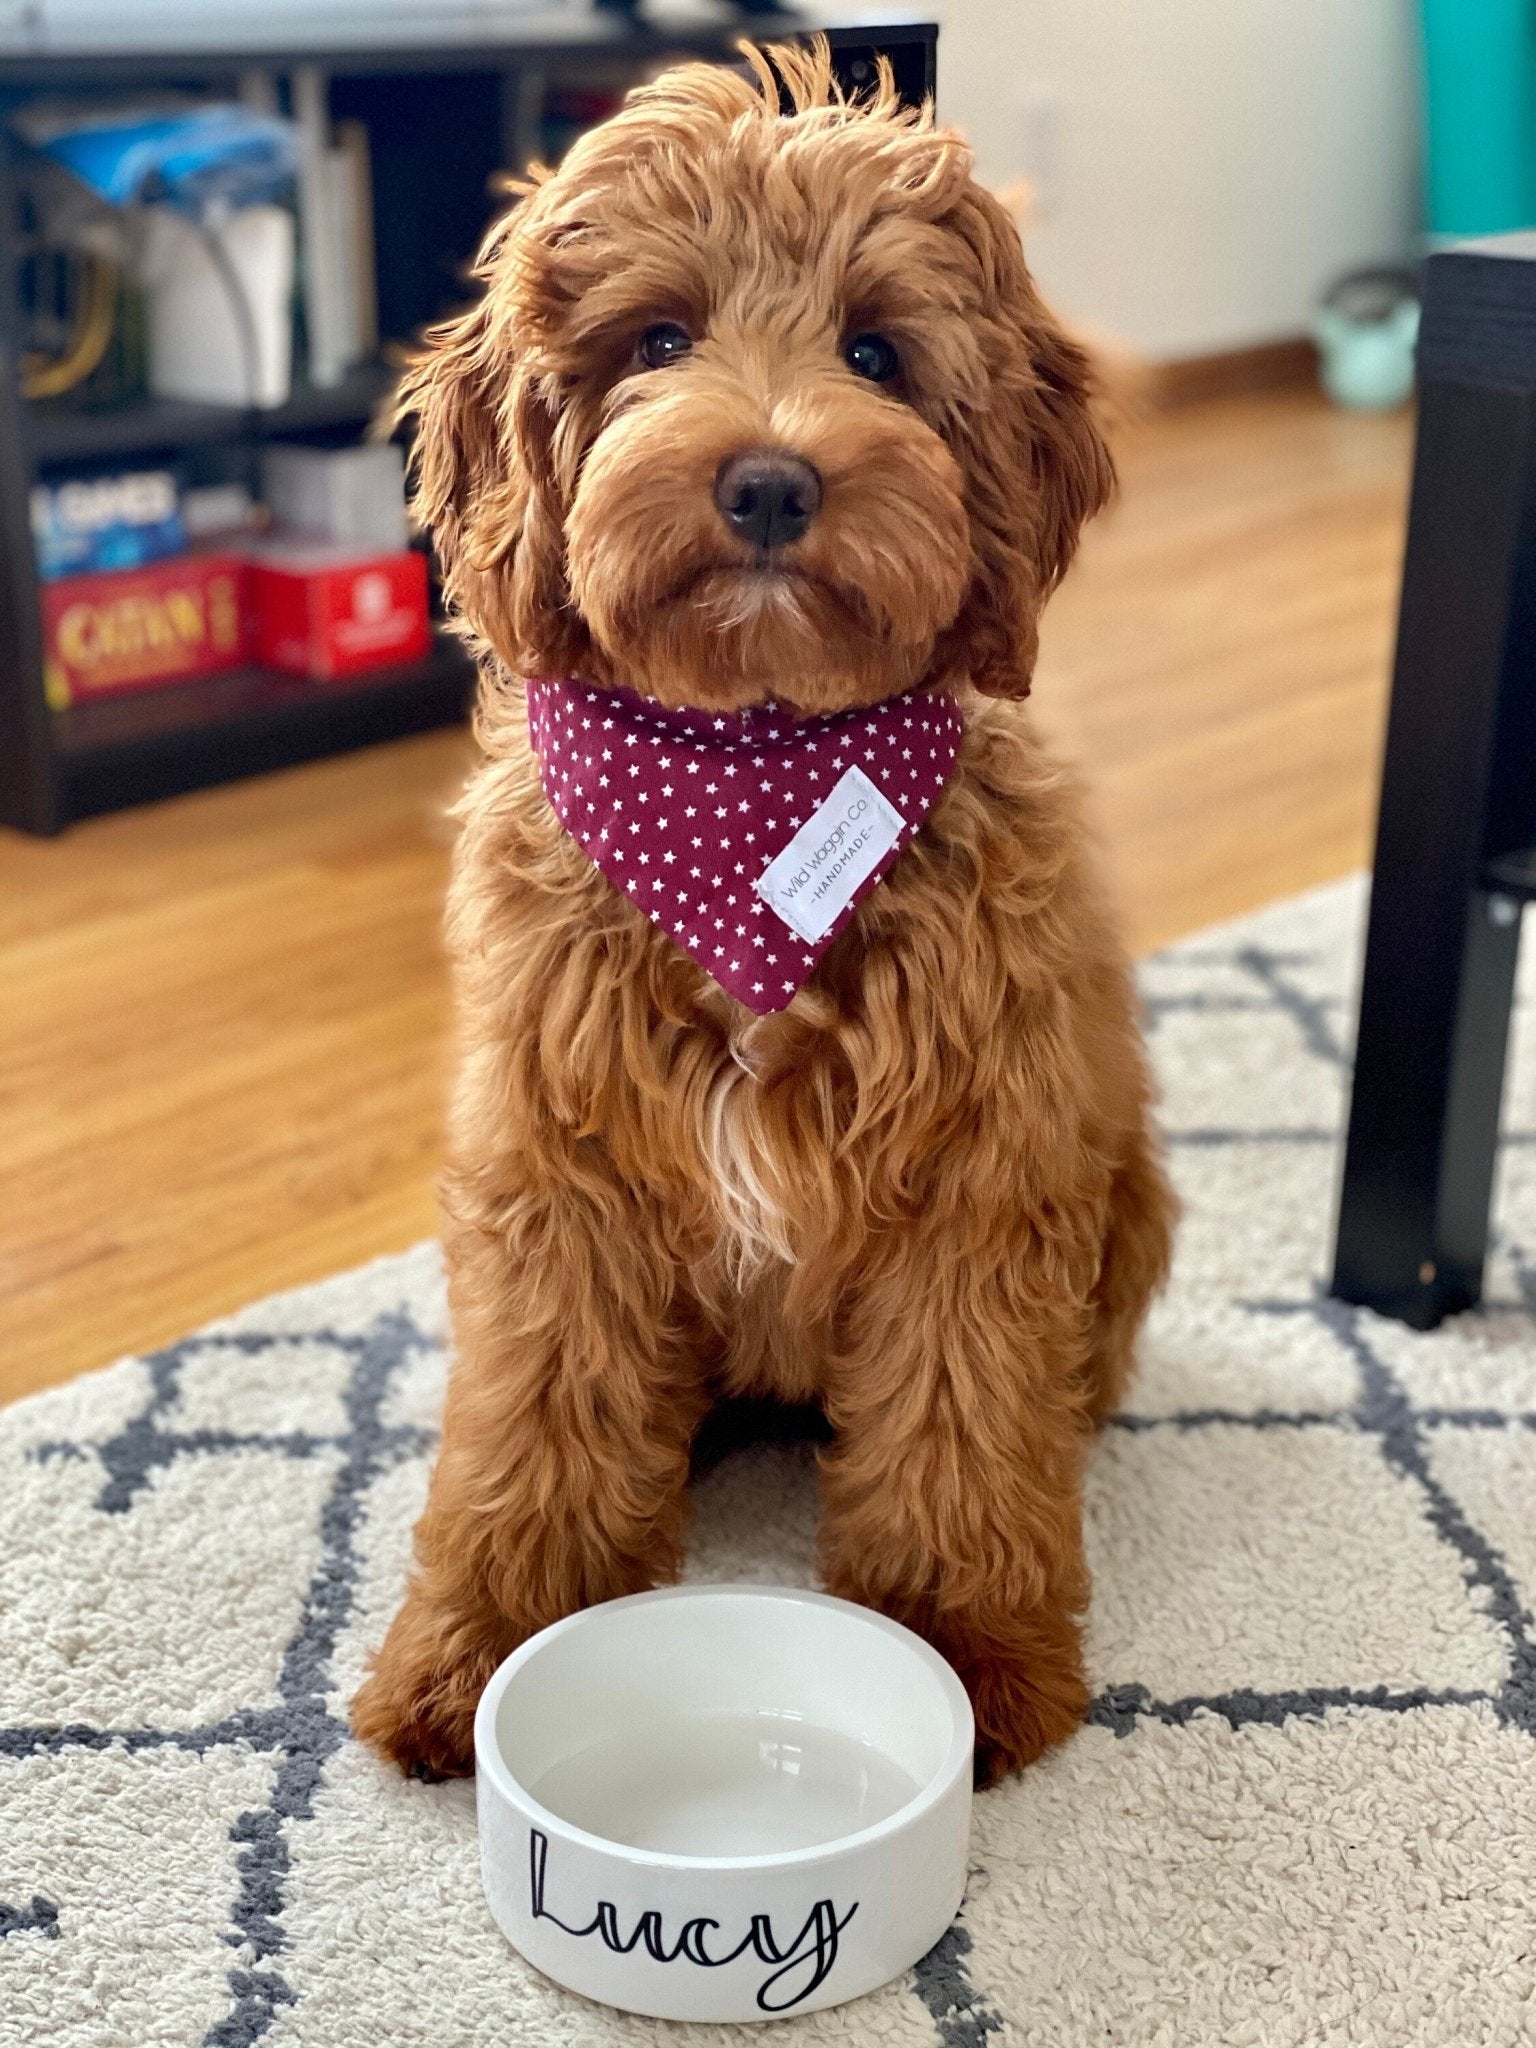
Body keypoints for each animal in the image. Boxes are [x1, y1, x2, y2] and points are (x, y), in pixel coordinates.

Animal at [354, 36, 1171, 1794]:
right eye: (658, 339)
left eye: (875, 350)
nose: (773, 483)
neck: (754, 778)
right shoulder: (559, 1172)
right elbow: (536, 1417)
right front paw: (481, 1642)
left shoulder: (979, 1172)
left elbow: (956, 1418)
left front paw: (960, 1649)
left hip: (1127, 1188)